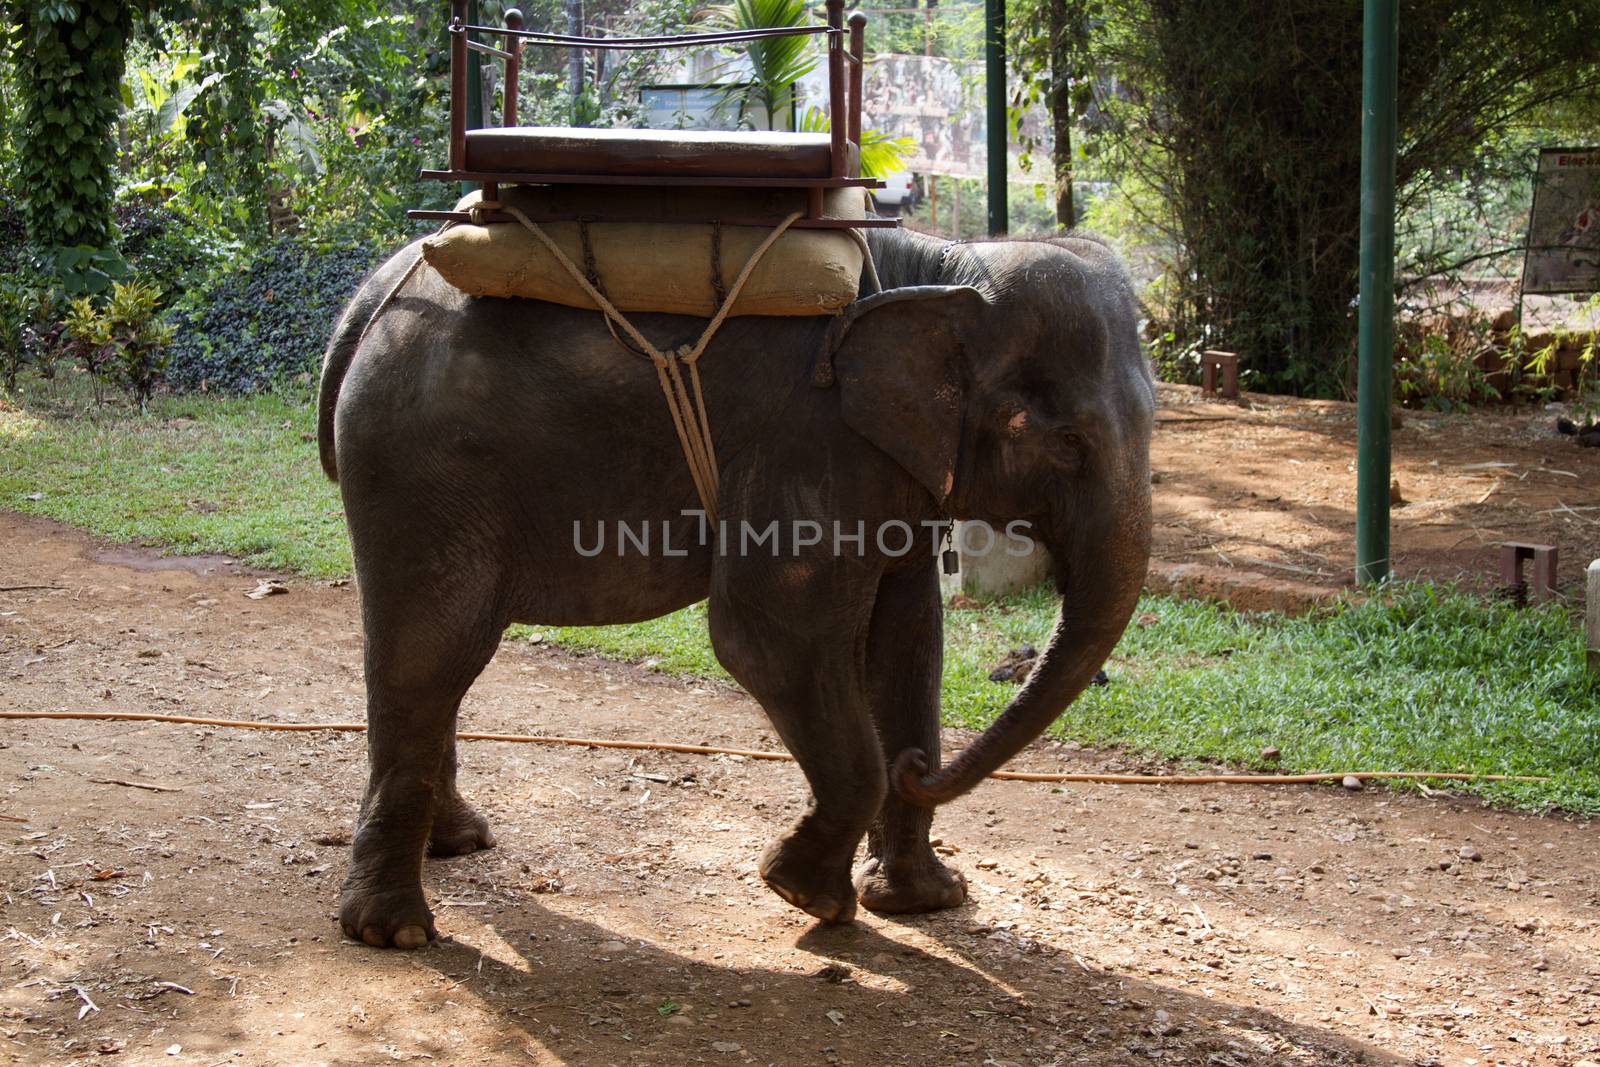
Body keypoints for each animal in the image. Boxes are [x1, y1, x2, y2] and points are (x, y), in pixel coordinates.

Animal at [315, 225, 1152, 953]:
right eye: (1064, 440)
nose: (918, 768)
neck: (946, 264)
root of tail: (375, 293)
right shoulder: (811, 445)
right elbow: (768, 636)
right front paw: (804, 892)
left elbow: (909, 638)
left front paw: (923, 900)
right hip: (423, 466)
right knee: (433, 649)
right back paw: (393, 931)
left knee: (440, 660)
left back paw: (459, 844)